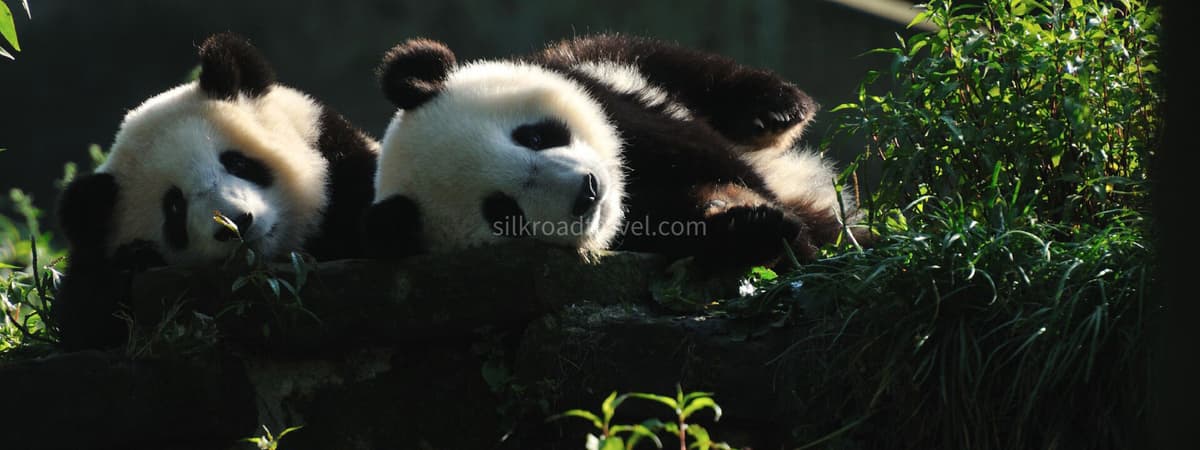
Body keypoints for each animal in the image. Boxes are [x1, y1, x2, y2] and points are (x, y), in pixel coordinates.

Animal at [365, 35, 860, 269]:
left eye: (533, 137)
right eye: (504, 213)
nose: (587, 192)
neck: (629, 192)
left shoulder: (607, 91)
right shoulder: (645, 228)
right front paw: (763, 227)